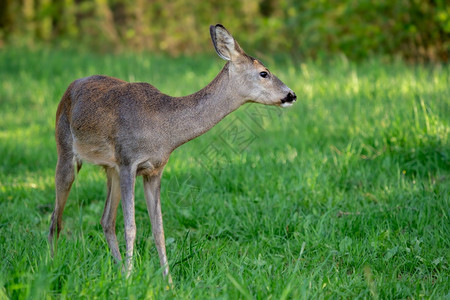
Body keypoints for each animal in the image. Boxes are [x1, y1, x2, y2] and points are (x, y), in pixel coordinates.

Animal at [48, 24, 296, 284]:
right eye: (264, 73)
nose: (291, 95)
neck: (163, 130)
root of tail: (69, 87)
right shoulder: (128, 161)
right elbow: (131, 226)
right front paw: (130, 278)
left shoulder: (154, 169)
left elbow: (158, 228)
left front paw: (167, 282)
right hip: (65, 150)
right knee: (56, 217)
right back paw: (53, 264)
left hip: (110, 168)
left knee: (106, 220)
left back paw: (117, 269)